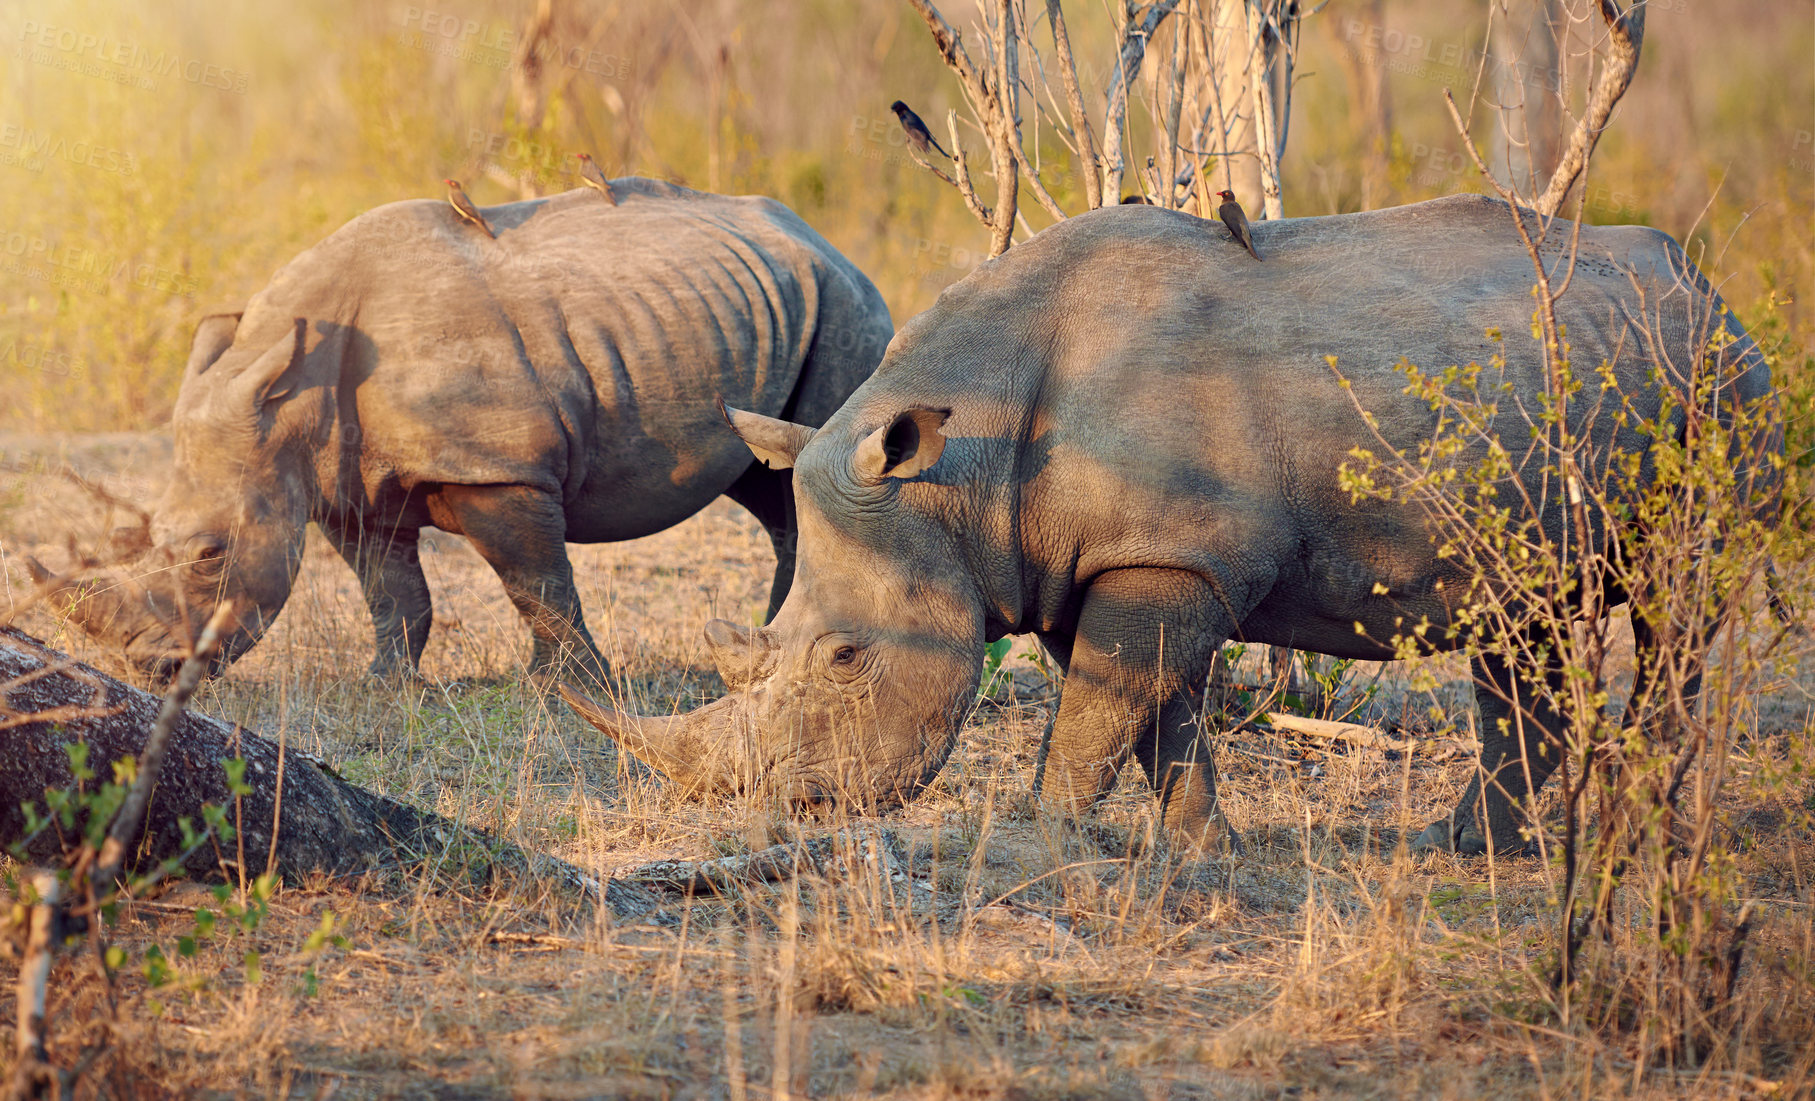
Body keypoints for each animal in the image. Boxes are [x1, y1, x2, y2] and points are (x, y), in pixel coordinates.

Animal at [33, 178, 892, 682]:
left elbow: (536, 583)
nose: (148, 670)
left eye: (210, 554)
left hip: (843, 303)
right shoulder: (343, 483)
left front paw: (565, 690)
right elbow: (391, 591)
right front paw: (388, 687)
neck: (289, 391)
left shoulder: (495, 466)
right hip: (771, 302)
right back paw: (771, 636)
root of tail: (822, 239)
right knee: (767, 481)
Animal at [555, 194, 1771, 856]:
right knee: (1526, 625)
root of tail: (1709, 285)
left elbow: (1103, 712)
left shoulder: (1169, 557)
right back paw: (1470, 851)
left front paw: (1042, 841)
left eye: (846, 659)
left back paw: (1645, 825)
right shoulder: (1098, 557)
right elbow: (1152, 714)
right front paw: (1199, 853)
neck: (958, 467)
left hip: (1716, 387)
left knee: (1674, 609)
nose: (782, 811)